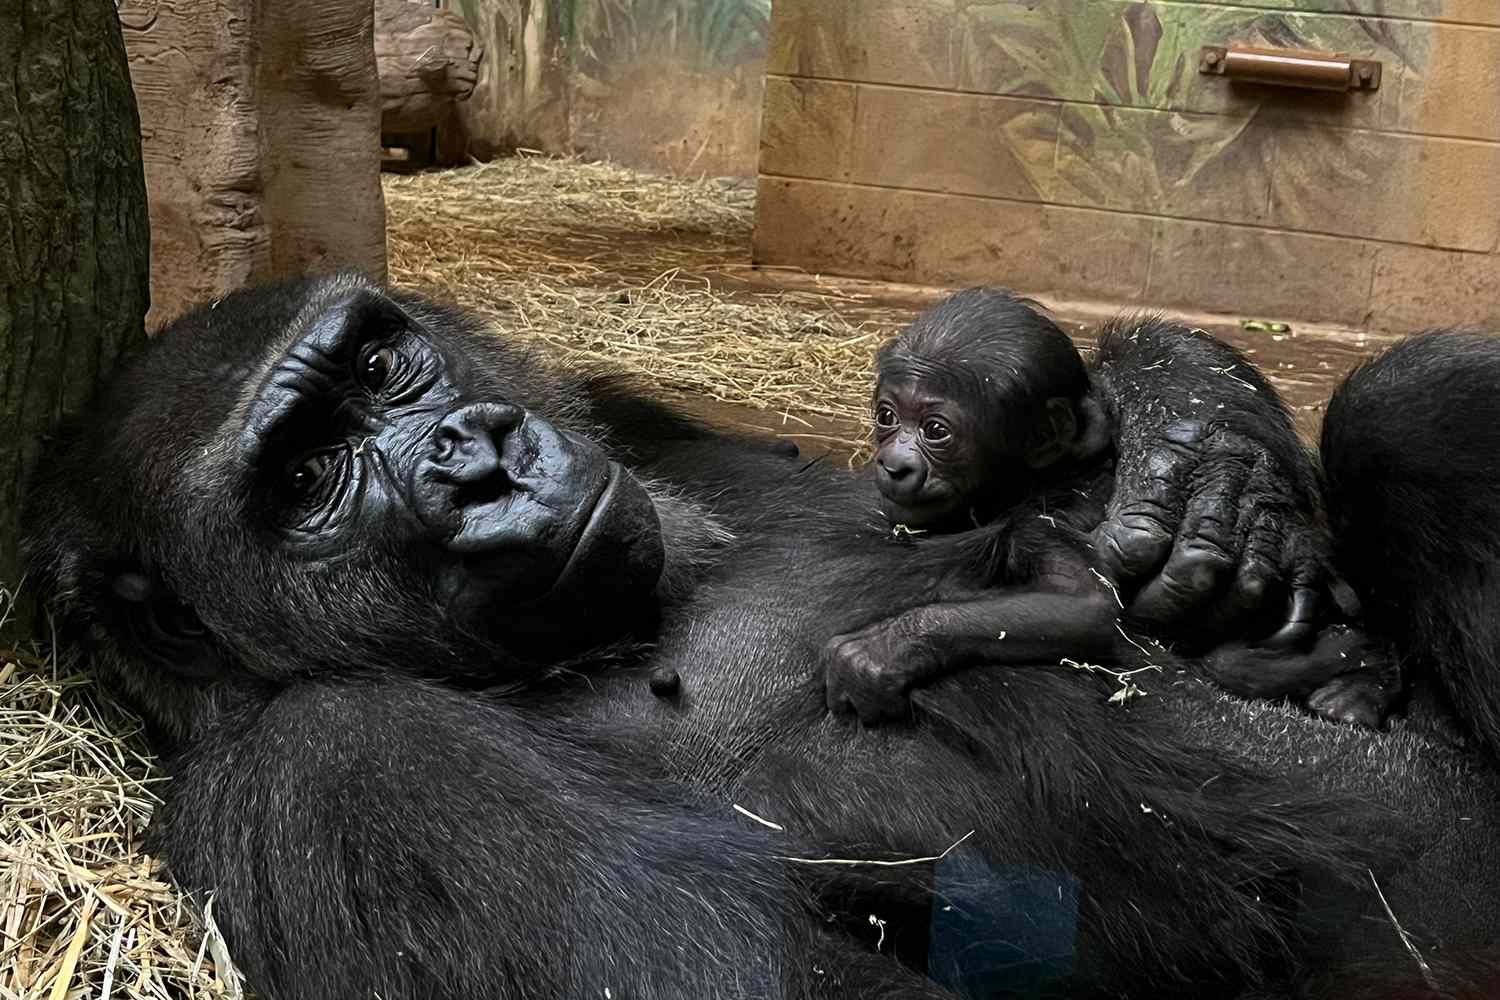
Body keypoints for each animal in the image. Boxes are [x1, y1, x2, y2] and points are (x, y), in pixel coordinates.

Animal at [828, 289, 1386, 728]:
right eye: (887, 416)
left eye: (936, 430)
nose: (895, 463)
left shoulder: (1043, 524)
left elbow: (1083, 605)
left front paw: (885, 649)